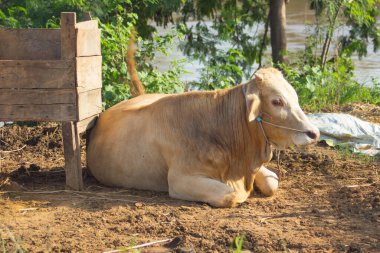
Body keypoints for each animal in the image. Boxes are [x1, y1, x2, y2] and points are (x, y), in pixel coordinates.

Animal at [87, 39, 320, 208]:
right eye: (277, 101)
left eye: (295, 96)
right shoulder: (180, 180)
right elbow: (233, 196)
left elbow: (272, 183)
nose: (314, 133)